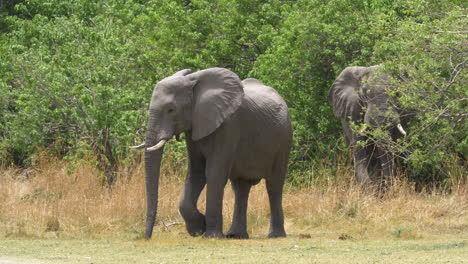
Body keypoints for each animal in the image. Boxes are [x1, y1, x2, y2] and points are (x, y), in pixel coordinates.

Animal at [131, 66, 292, 239]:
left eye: (171, 109)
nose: (147, 237)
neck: (194, 83)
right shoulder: (194, 128)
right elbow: (197, 172)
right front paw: (198, 228)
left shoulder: (228, 126)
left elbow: (214, 173)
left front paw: (210, 234)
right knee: (240, 188)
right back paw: (236, 235)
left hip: (284, 140)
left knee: (274, 186)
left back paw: (275, 235)